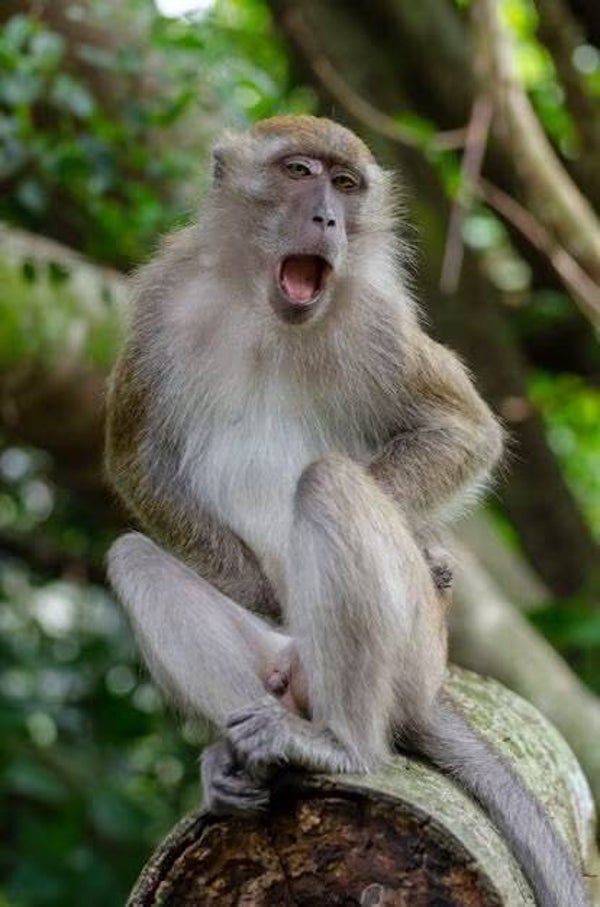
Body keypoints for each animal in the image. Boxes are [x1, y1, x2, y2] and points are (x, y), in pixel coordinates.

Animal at [105, 115, 590, 907]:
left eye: (347, 183)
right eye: (299, 171)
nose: (328, 218)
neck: (264, 308)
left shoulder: (379, 319)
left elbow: (463, 431)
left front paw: (432, 550)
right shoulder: (159, 303)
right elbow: (135, 459)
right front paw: (254, 592)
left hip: (411, 653)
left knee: (330, 481)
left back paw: (344, 744)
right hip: (281, 659)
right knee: (136, 555)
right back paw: (237, 752)